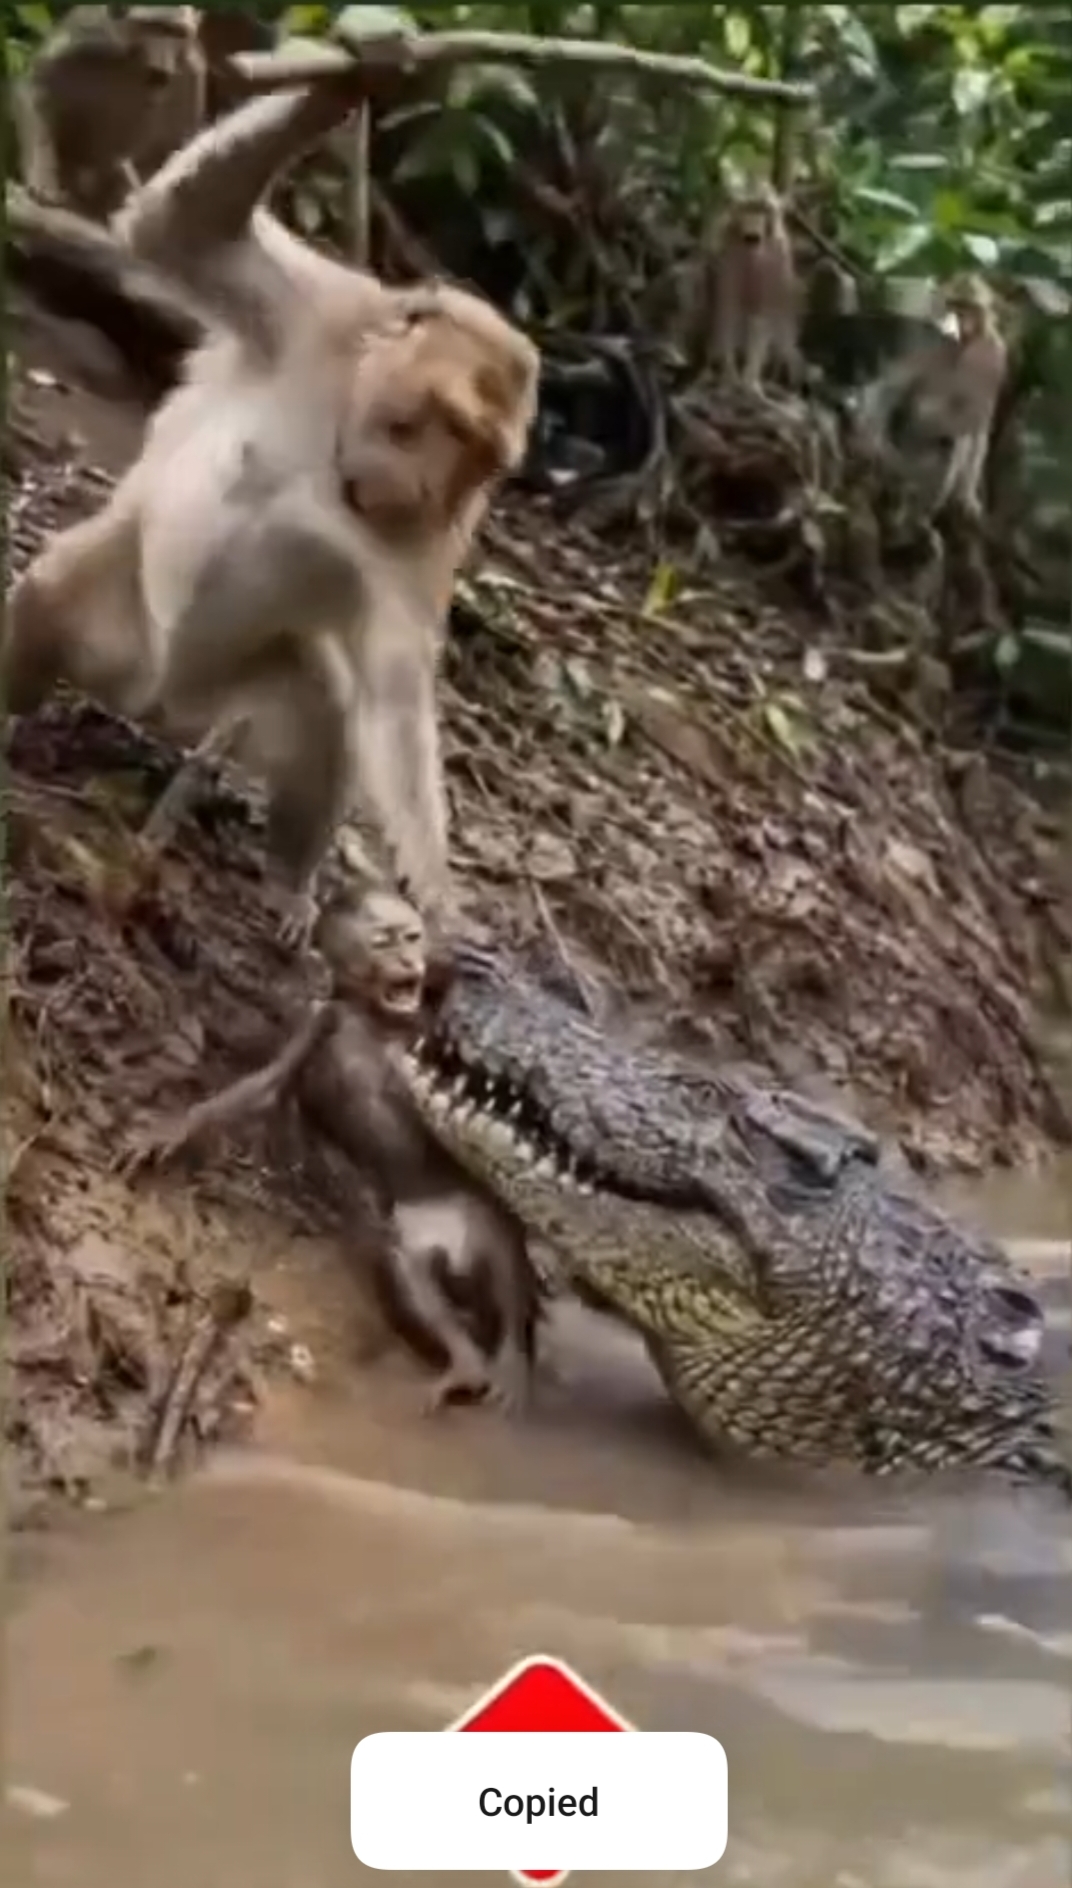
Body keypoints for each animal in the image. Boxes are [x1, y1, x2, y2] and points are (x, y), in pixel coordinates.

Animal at [2, 80, 540, 946]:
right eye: (450, 426)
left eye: (479, 451)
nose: (431, 486)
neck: (344, 425)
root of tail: (153, 694)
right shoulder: (322, 313)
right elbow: (180, 225)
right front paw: (354, 84)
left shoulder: (430, 542)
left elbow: (393, 685)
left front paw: (434, 888)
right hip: (118, 623)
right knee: (55, 586)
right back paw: (11, 720)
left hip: (230, 693)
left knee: (330, 714)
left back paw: (289, 881)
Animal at [13, 6, 207, 223]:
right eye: (151, 27)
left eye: (176, 33)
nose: (162, 64)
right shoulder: (90, 38)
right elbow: (36, 88)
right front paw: (42, 179)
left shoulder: (190, 73)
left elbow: (174, 145)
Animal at [120, 888, 547, 1415]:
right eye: (384, 942)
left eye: (413, 937)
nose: (410, 961)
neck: (374, 1019)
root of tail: (457, 1249)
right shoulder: (320, 1020)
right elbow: (266, 1085)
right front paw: (168, 1128)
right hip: (410, 1240)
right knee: (412, 1281)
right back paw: (467, 1365)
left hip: (478, 1215)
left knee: (506, 1260)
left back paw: (511, 1358)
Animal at [707, 183, 801, 391]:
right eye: (747, 208)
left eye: (763, 209)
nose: (752, 235)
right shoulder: (729, 252)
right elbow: (728, 309)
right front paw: (730, 375)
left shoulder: (777, 258)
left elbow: (763, 313)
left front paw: (749, 380)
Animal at [855, 274, 1008, 517]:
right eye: (954, 305)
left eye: (969, 308)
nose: (961, 322)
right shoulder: (926, 336)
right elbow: (894, 385)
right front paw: (868, 438)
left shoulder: (993, 355)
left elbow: (977, 423)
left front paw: (967, 497)